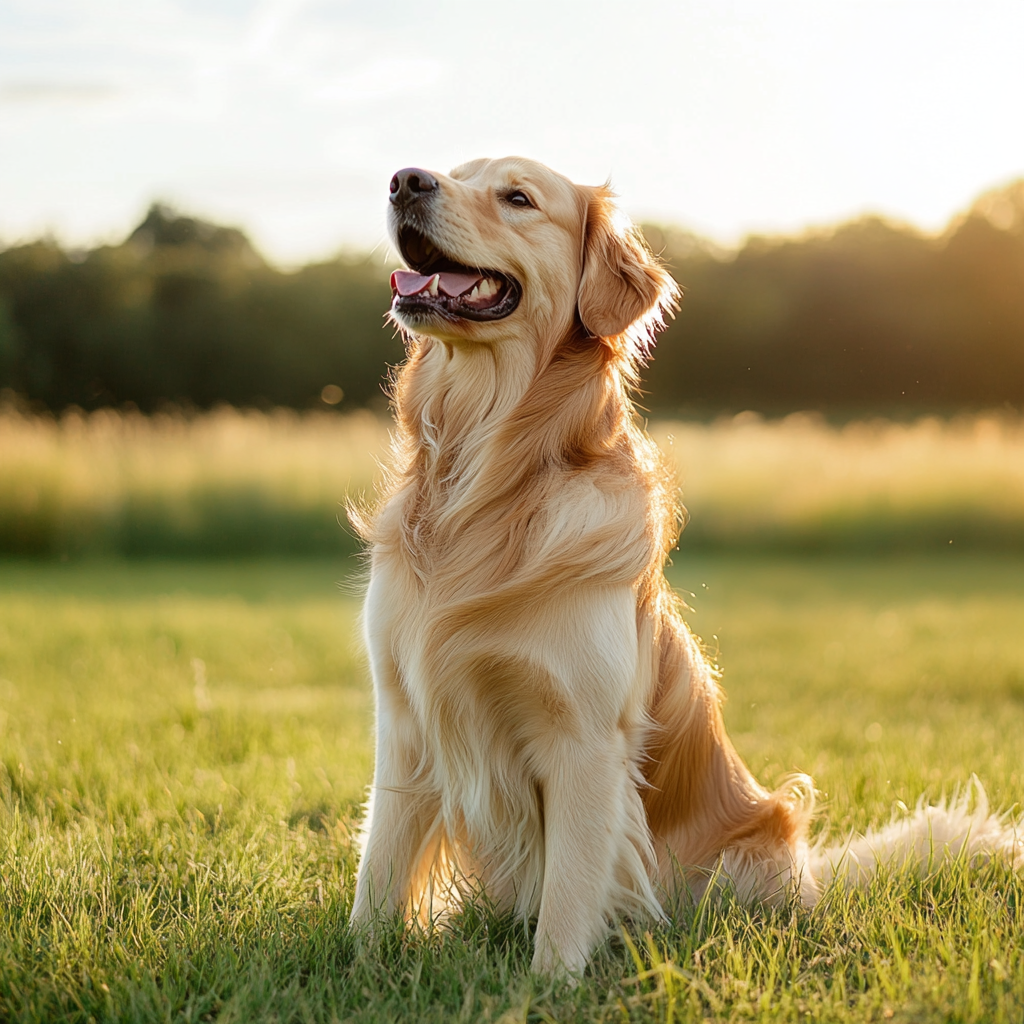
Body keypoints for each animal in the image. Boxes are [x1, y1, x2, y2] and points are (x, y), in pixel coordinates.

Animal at [346, 155, 1024, 970]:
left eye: (517, 197)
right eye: (452, 170)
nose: (404, 181)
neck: (485, 479)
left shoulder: (584, 740)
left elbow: (568, 897)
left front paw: (549, 984)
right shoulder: (404, 722)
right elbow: (378, 873)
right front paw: (354, 964)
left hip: (748, 856)